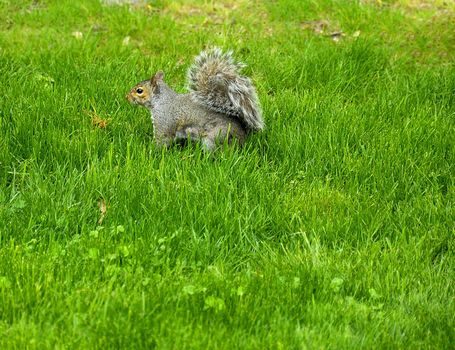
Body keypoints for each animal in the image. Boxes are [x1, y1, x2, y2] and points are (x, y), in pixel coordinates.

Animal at [126, 47, 266, 150]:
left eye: (139, 91)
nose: (126, 97)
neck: (161, 100)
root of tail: (243, 135)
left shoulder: (164, 121)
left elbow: (163, 139)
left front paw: (150, 150)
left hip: (214, 138)